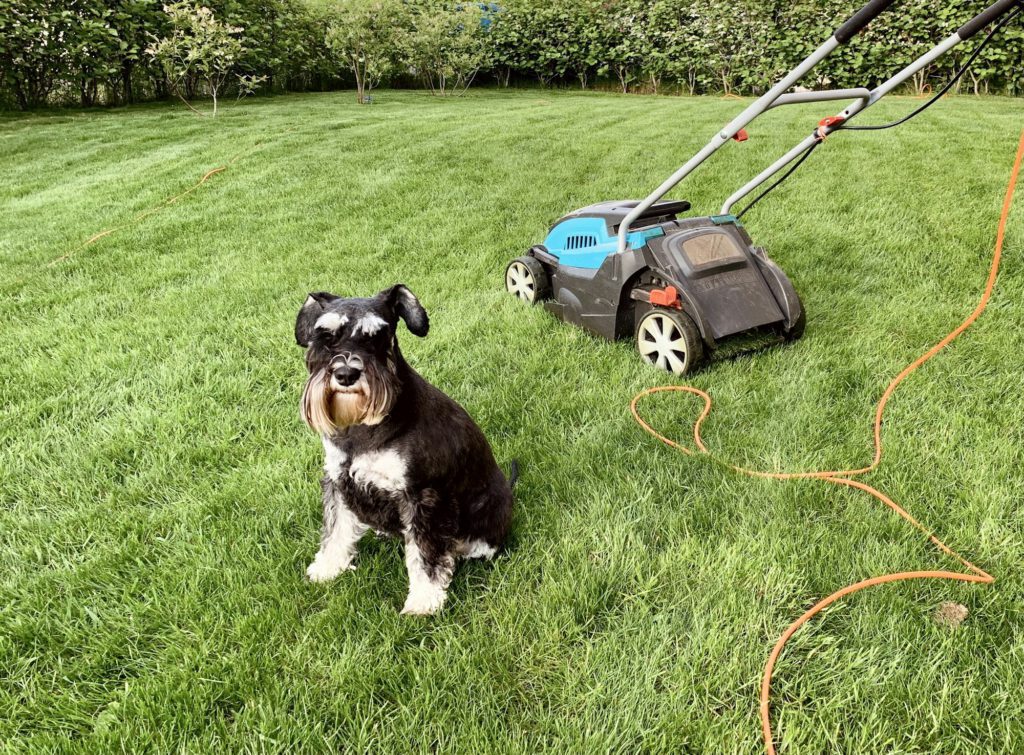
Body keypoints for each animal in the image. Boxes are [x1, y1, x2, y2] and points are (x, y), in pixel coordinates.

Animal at [299, 282, 520, 614]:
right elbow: (336, 528)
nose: (346, 375)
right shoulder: (338, 479)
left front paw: (423, 601)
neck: (362, 427)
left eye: (377, 338)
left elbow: (426, 552)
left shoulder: (422, 497)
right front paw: (327, 567)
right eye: (326, 336)